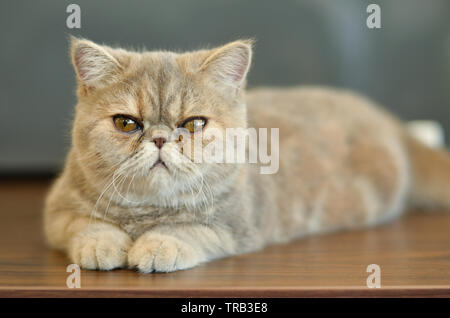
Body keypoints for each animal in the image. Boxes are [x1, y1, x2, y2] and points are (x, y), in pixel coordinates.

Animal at [44, 36, 450, 270]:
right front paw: (102, 244)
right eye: (126, 123)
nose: (159, 140)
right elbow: (85, 225)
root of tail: (388, 119)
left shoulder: (237, 226)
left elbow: (192, 229)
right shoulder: (57, 213)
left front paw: (159, 244)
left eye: (193, 124)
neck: (149, 211)